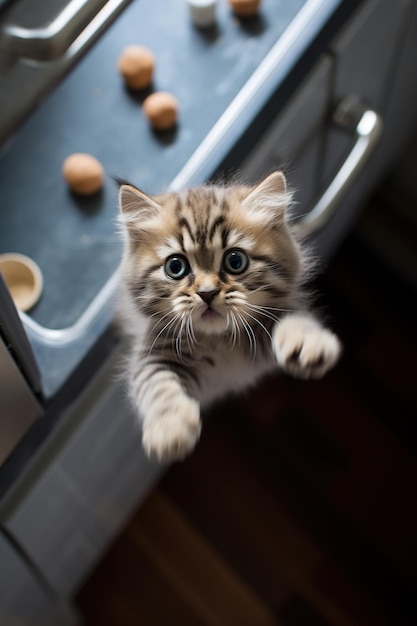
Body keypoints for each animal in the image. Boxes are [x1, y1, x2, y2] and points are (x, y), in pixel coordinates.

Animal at [116, 169, 338, 458]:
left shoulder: (274, 319)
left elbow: (294, 320)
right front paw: (170, 429)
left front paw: (306, 343)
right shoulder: (154, 354)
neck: (219, 340)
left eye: (235, 261)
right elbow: (158, 387)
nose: (207, 293)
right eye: (175, 267)